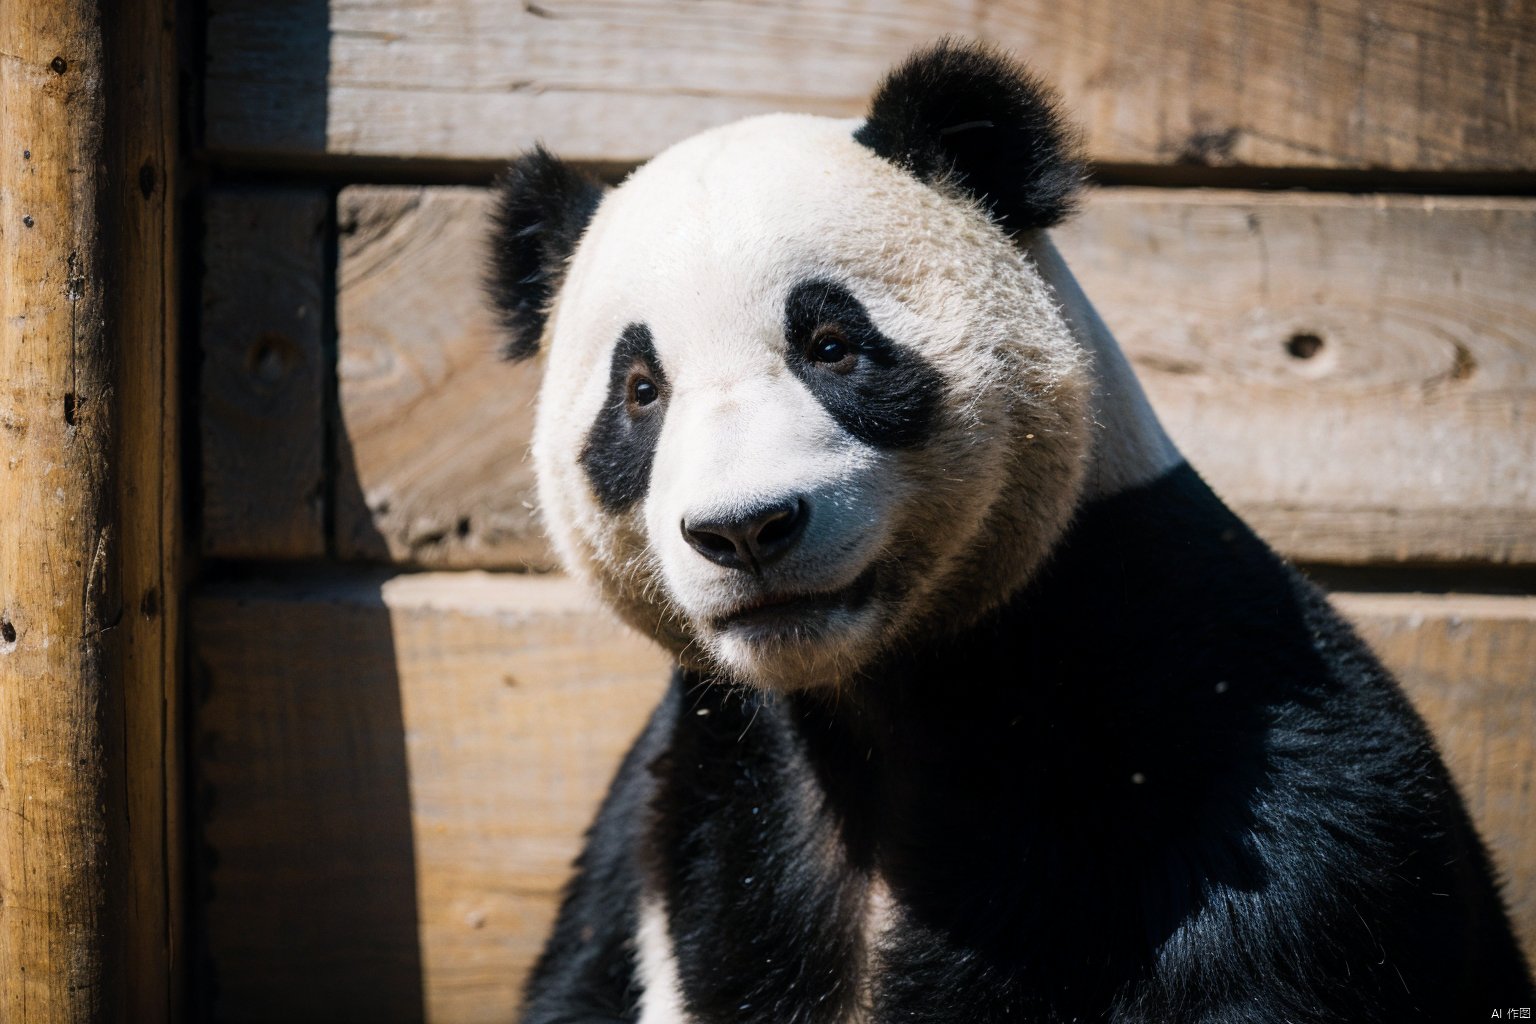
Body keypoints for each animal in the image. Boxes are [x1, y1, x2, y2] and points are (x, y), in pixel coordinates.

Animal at [485, 37, 1529, 1019]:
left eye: (833, 346)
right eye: (640, 392)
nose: (747, 530)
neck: (870, 687)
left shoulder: (1223, 727)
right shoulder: (678, 811)